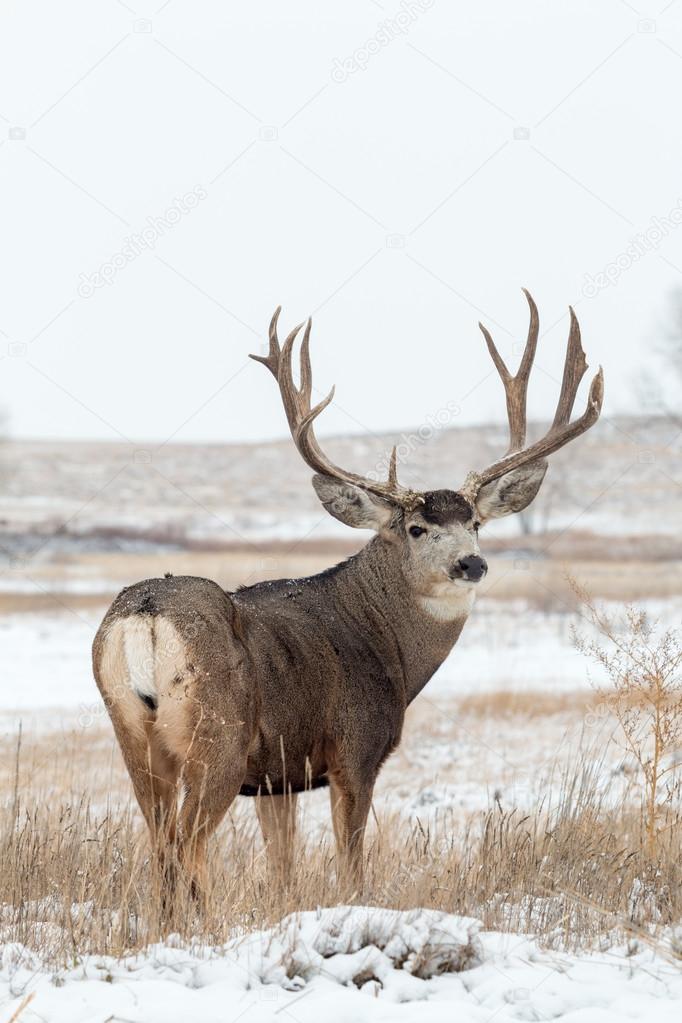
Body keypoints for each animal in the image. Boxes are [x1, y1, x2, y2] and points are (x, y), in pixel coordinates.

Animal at [92, 290, 603, 898]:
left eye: (476, 522)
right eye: (416, 528)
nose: (472, 563)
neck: (385, 642)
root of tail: (145, 615)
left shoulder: (278, 775)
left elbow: (283, 869)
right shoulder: (355, 748)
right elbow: (351, 863)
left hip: (133, 734)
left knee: (161, 849)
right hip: (218, 739)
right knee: (187, 849)